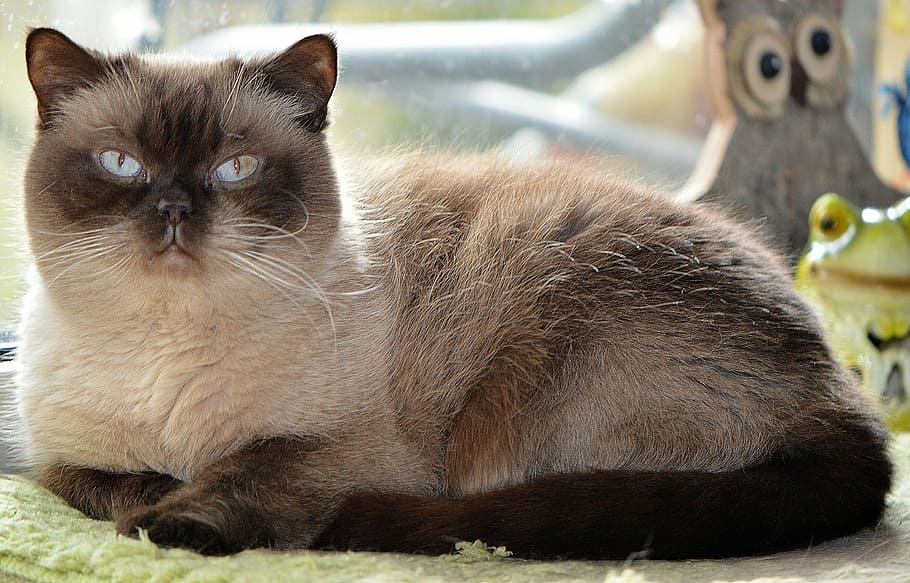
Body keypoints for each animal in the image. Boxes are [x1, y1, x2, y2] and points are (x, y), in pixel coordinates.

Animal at [10, 28, 896, 560]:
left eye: (236, 168)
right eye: (121, 164)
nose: (172, 210)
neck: (164, 353)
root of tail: (845, 394)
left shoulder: (342, 451)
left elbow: (246, 470)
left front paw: (169, 522)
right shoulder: (55, 457)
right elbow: (97, 481)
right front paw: (151, 494)